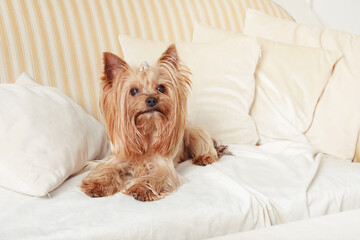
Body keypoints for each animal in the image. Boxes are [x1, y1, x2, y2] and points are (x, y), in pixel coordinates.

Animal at [81, 43, 226, 201]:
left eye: (161, 88)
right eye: (133, 91)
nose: (151, 99)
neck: (147, 130)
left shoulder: (162, 165)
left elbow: (156, 177)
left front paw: (142, 189)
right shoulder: (118, 159)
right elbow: (107, 169)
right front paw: (97, 185)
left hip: (193, 133)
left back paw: (205, 157)